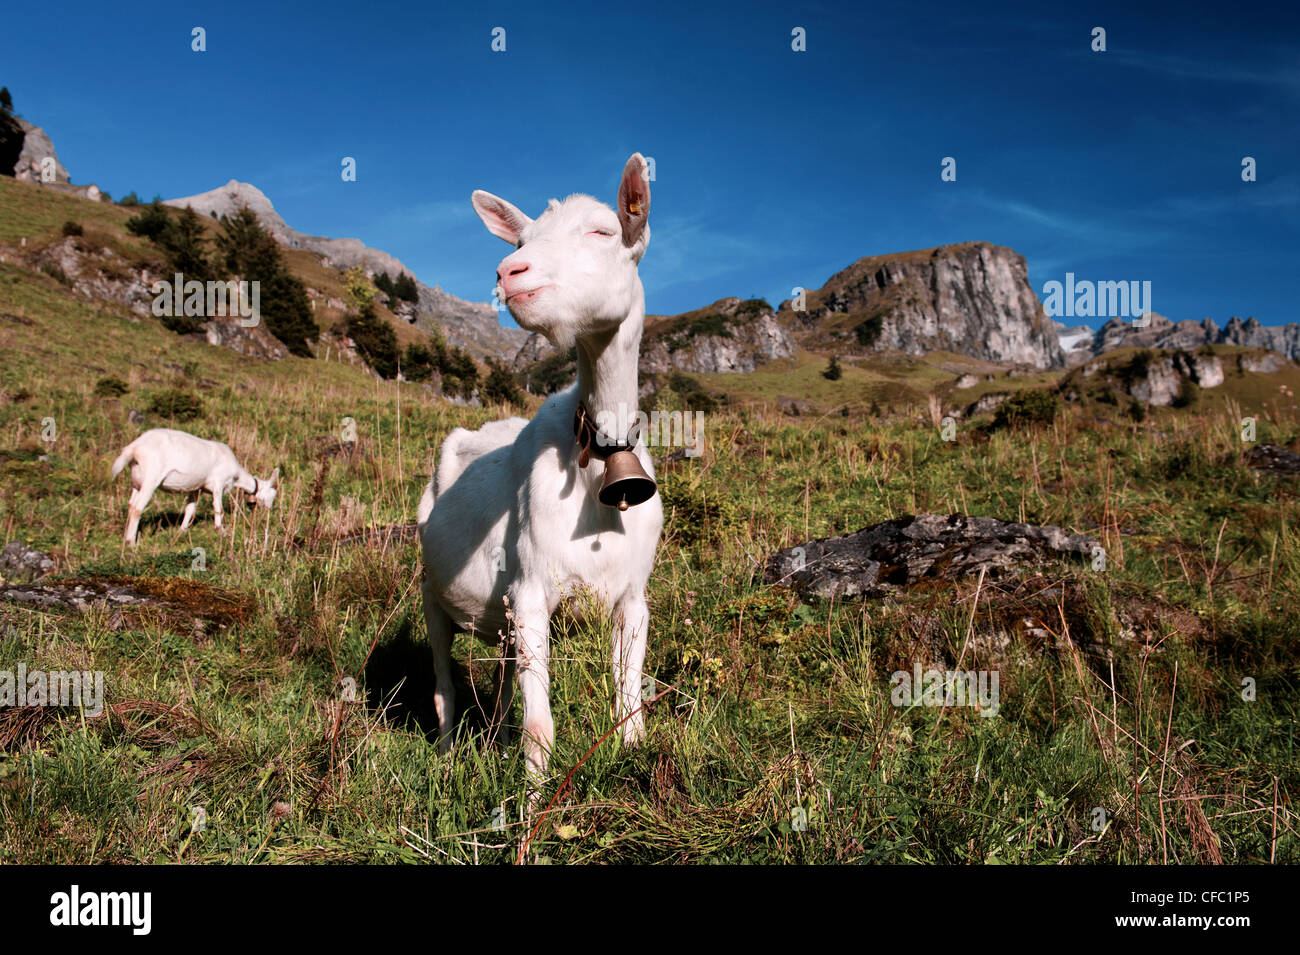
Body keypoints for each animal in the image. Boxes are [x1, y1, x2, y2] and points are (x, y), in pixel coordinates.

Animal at [109, 428, 279, 545]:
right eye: (272, 495)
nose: (268, 513)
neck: (237, 475)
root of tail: (134, 448)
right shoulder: (218, 483)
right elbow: (219, 508)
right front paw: (221, 531)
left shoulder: (196, 489)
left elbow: (190, 509)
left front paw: (182, 530)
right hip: (151, 477)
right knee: (137, 508)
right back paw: (131, 543)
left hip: (137, 481)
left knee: (131, 505)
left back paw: (126, 538)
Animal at [416, 153, 660, 779]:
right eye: (522, 240)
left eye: (603, 231)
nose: (510, 271)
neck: (599, 461)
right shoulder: (530, 588)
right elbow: (540, 727)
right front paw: (531, 797)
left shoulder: (633, 598)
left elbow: (628, 700)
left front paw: (636, 761)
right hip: (430, 591)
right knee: (443, 681)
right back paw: (448, 755)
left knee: (502, 684)